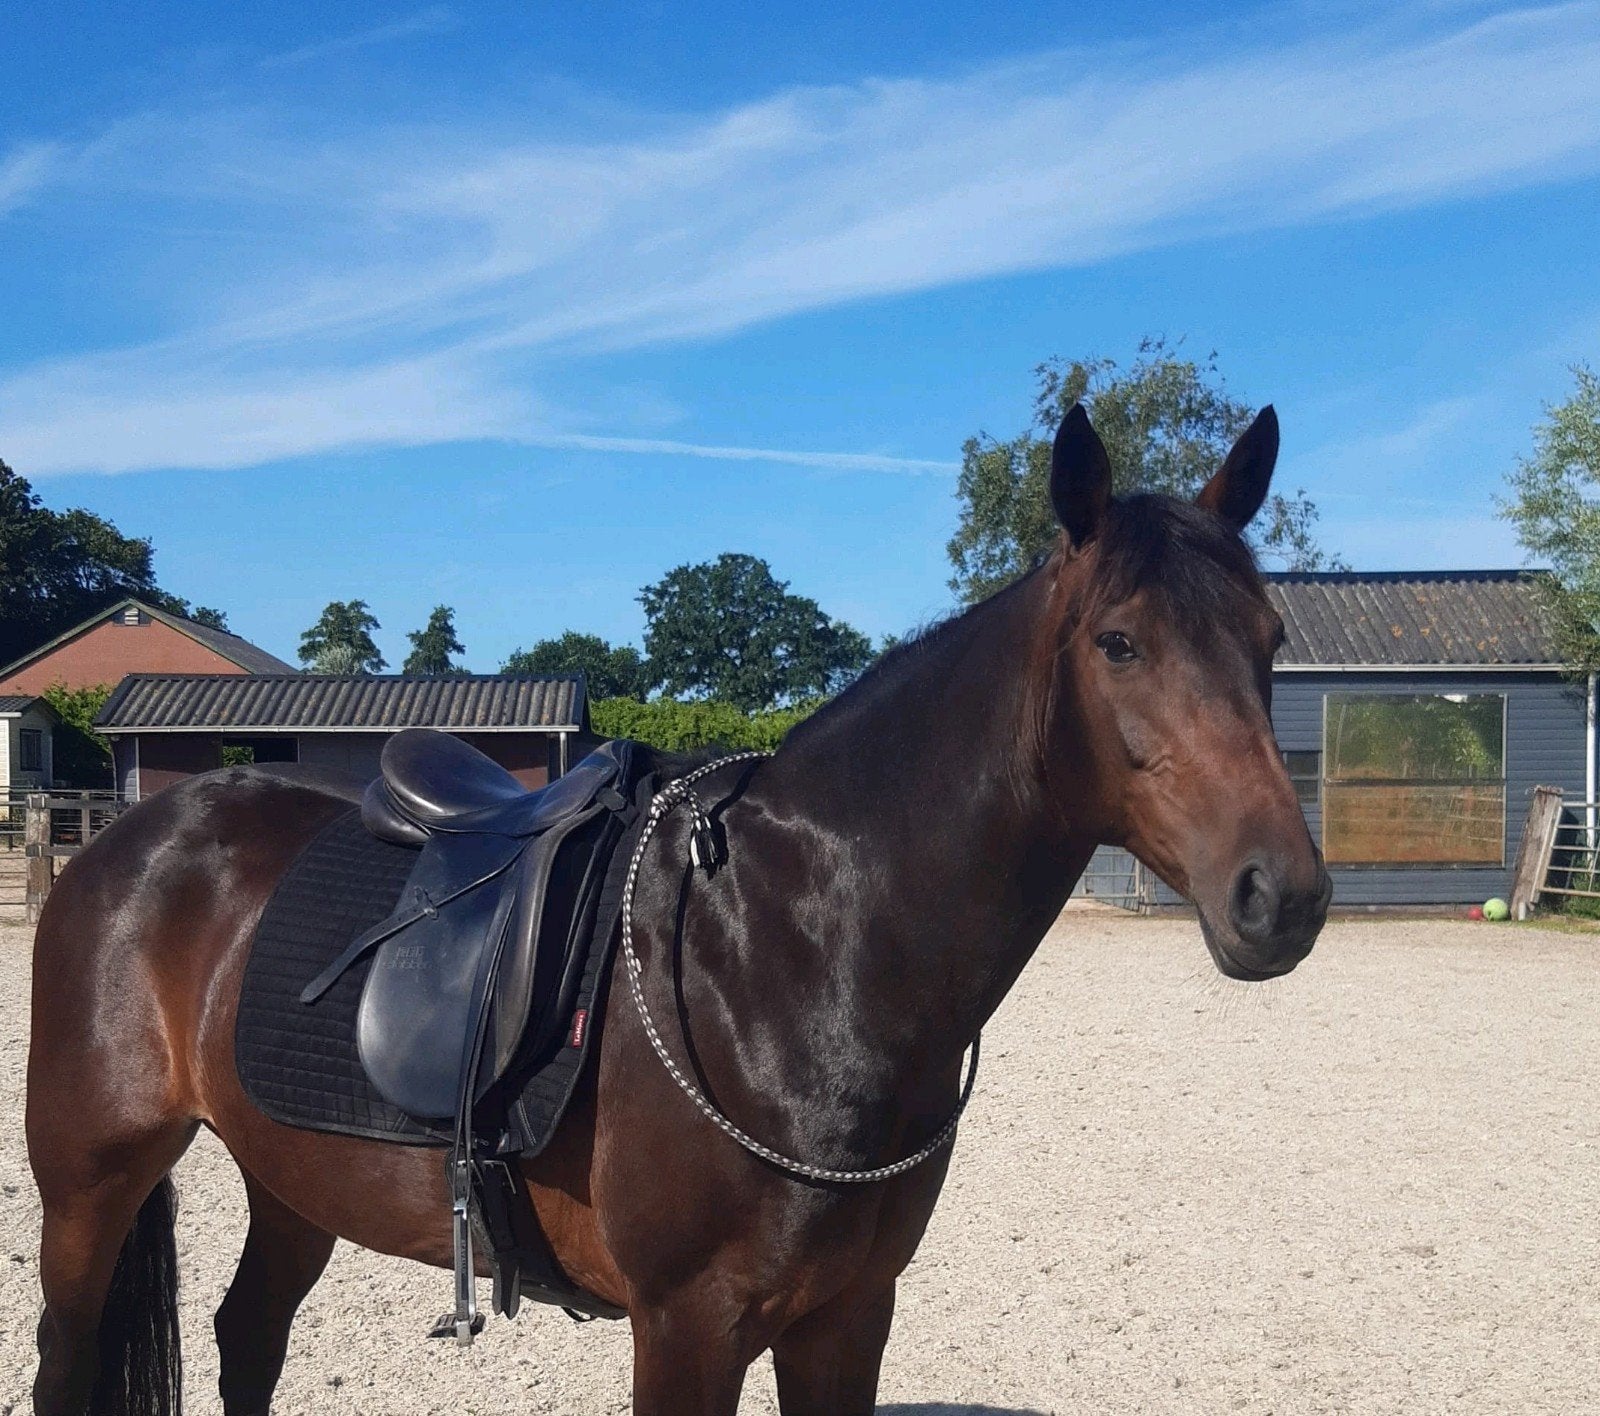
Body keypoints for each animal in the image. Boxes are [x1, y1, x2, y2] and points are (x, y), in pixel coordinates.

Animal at [26, 403, 1330, 1415]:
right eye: (1118, 643)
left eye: (1268, 638)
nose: (1285, 895)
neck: (794, 956)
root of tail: (134, 839)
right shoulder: (688, 1326)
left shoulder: (845, 1319)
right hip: (89, 1183)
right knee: (66, 1361)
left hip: (292, 1177)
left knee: (246, 1336)